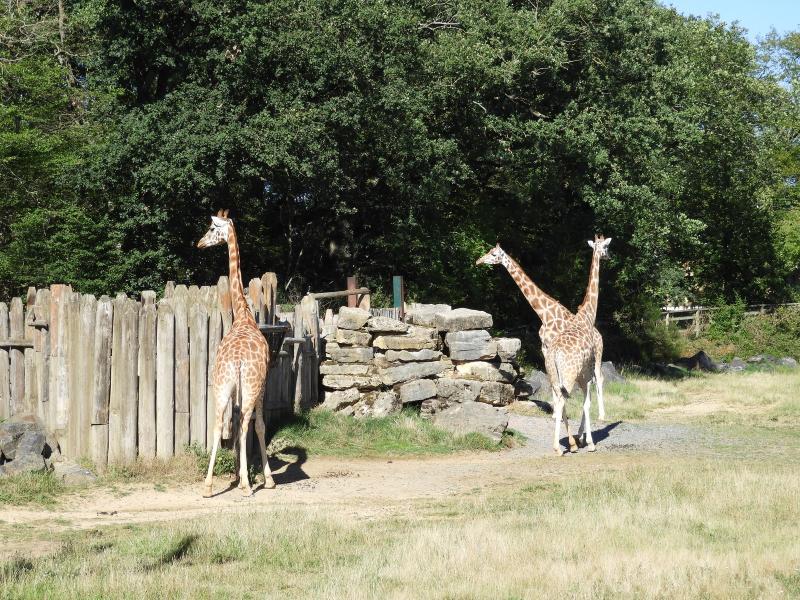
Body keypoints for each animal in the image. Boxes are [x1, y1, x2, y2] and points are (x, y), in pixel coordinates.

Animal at [197, 209, 274, 497]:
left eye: (210, 228)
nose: (199, 243)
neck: (243, 315)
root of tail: (237, 361)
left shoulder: (235, 389)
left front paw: (241, 476)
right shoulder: (264, 383)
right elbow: (259, 426)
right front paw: (264, 479)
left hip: (221, 384)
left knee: (219, 423)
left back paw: (208, 486)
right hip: (250, 386)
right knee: (244, 425)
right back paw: (248, 487)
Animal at [475, 244, 607, 423]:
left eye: (494, 254)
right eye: (489, 252)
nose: (478, 261)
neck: (545, 314)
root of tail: (598, 333)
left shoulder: (550, 348)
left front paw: (556, 413)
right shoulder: (545, 349)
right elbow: (552, 380)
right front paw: (555, 413)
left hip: (597, 354)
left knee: (598, 377)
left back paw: (602, 415)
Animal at [544, 235, 611, 455]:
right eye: (607, 247)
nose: (608, 256)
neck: (588, 315)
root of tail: (555, 353)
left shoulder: (584, 374)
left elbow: (585, 403)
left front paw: (582, 439)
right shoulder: (588, 369)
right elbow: (587, 403)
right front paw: (589, 442)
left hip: (554, 375)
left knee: (557, 399)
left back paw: (563, 443)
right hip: (569, 375)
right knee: (562, 401)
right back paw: (559, 447)